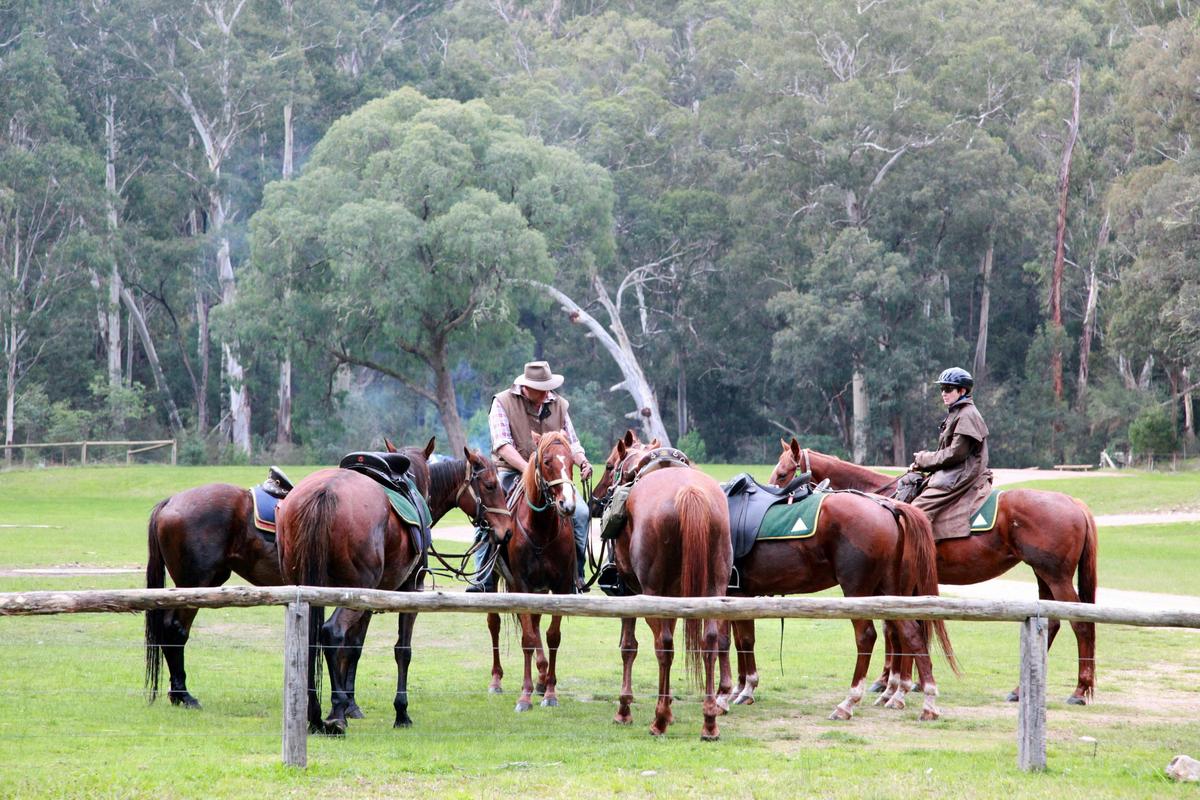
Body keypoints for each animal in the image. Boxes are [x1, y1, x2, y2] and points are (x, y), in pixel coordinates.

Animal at [485, 431, 579, 713]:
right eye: (547, 462)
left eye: (572, 461)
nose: (567, 504)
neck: (541, 529)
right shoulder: (522, 584)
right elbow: (527, 638)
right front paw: (524, 696)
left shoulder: (559, 587)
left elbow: (552, 636)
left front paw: (549, 691)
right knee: (494, 623)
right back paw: (497, 680)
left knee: (536, 623)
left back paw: (542, 676)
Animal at [590, 431, 732, 740]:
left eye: (609, 466)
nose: (595, 500)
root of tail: (689, 493)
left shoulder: (630, 593)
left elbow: (628, 646)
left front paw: (624, 709)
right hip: (713, 589)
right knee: (710, 642)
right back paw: (709, 720)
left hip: (653, 592)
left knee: (664, 646)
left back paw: (660, 718)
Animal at [771, 438, 1098, 705]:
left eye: (783, 474)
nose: (776, 501)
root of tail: (1074, 503)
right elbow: (907, 625)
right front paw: (908, 681)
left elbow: (894, 628)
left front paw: (892, 682)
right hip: (1044, 576)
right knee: (1051, 624)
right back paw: (1021, 690)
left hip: (1057, 577)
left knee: (1081, 624)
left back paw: (1080, 690)